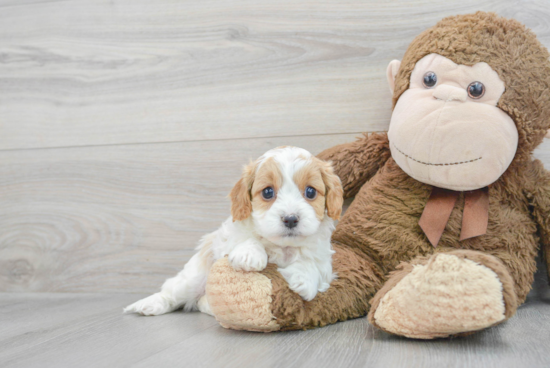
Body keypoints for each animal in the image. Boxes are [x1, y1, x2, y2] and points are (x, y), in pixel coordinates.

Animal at [124, 147, 344, 316]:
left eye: (310, 191)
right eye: (267, 192)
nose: (290, 218)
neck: (283, 247)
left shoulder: (324, 260)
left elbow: (314, 265)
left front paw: (303, 277)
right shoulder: (228, 238)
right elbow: (245, 238)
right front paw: (249, 254)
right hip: (194, 277)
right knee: (173, 291)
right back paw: (148, 304)